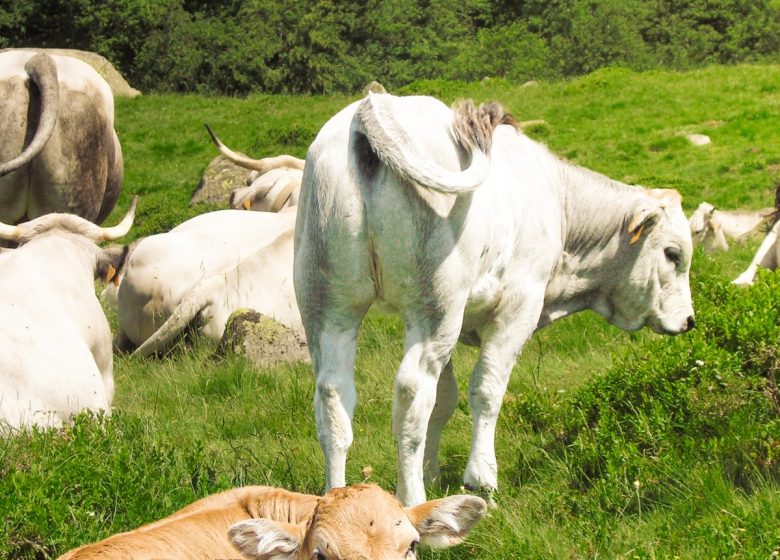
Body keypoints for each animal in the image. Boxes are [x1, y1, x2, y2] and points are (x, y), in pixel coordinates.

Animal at [294, 93, 695, 506]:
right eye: (673, 253)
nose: (689, 320)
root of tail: (373, 106)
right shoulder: (519, 307)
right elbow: (486, 388)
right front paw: (481, 477)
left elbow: (444, 400)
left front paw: (432, 473)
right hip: (433, 308)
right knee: (411, 393)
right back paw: (412, 500)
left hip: (329, 305)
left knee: (334, 395)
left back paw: (337, 499)